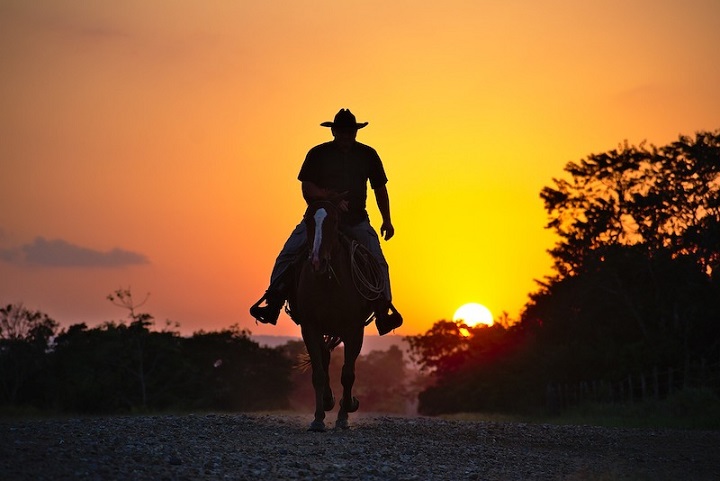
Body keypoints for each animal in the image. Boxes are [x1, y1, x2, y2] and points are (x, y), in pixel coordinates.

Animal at [288, 199, 374, 432]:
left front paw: (345, 414)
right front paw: (318, 419)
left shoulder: (354, 330)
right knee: (325, 360)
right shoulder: (310, 327)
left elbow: (347, 374)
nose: (318, 262)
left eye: (334, 221)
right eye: (308, 221)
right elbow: (318, 373)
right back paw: (327, 401)